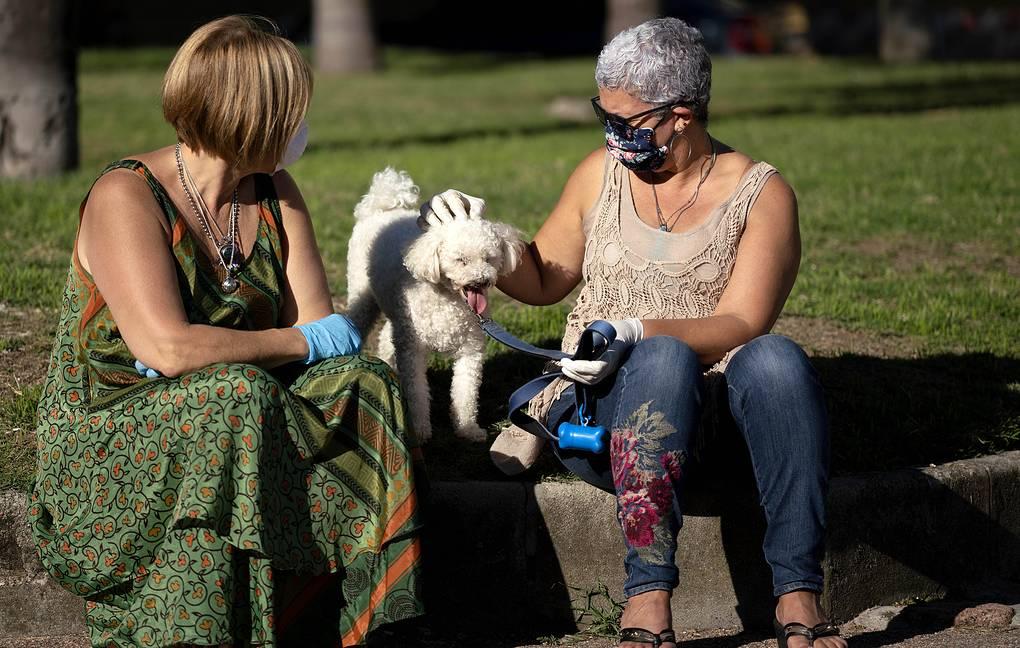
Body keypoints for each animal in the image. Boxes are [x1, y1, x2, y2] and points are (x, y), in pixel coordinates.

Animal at [346, 168, 525, 443]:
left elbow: (465, 394)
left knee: (387, 336)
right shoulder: (414, 352)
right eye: (461, 260)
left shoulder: (471, 350)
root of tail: (380, 209)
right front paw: (419, 431)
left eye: (489, 258)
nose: (481, 280)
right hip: (363, 297)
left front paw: (467, 430)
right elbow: (417, 395)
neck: (448, 301)